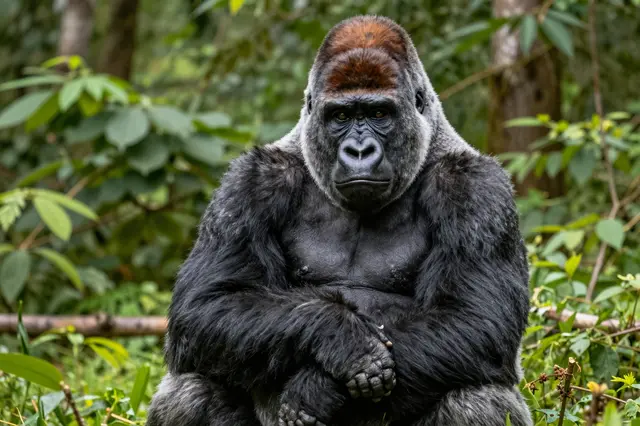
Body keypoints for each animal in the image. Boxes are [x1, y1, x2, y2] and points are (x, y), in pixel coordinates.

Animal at [147, 15, 532, 426]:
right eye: (341, 116)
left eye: (379, 114)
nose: (359, 151)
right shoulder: (249, 183)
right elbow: (206, 307)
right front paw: (342, 338)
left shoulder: (475, 189)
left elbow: (474, 321)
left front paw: (317, 391)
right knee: (188, 391)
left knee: (477, 399)